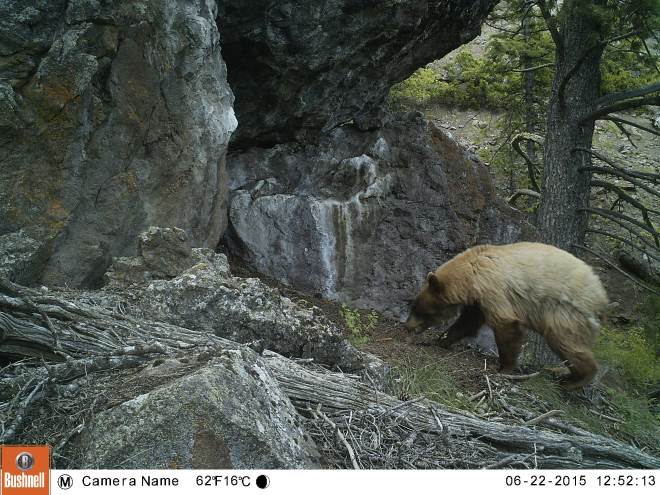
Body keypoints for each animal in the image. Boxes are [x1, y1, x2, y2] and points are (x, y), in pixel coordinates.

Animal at [405, 242, 609, 389]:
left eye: (420, 311)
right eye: (413, 307)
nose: (408, 326)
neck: (471, 271)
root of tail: (601, 297)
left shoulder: (491, 286)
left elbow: (505, 323)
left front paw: (505, 368)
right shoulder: (478, 300)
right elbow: (468, 322)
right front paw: (442, 339)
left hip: (565, 311)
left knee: (566, 342)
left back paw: (574, 380)